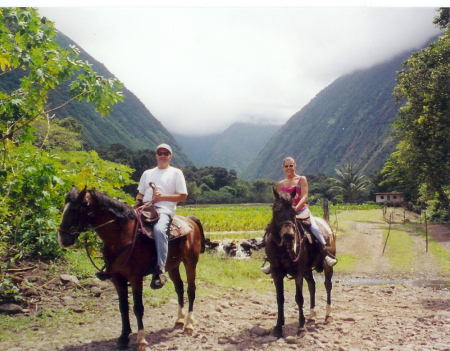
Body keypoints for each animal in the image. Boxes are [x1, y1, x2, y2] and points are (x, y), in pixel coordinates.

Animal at [57, 186, 205, 350]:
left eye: (76, 209)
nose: (62, 240)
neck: (121, 237)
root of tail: (190, 220)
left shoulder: (135, 278)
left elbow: (138, 307)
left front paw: (140, 340)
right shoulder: (117, 278)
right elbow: (123, 307)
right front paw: (123, 338)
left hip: (190, 261)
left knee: (191, 290)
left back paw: (189, 324)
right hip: (173, 266)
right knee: (179, 288)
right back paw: (179, 320)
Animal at [266, 188, 336, 340]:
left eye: (293, 211)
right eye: (276, 210)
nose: (288, 236)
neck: (283, 248)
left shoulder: (297, 272)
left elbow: (299, 298)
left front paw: (301, 327)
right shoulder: (276, 273)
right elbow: (279, 298)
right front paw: (278, 327)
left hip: (327, 267)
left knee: (328, 285)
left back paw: (328, 316)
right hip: (307, 270)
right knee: (312, 286)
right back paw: (311, 317)